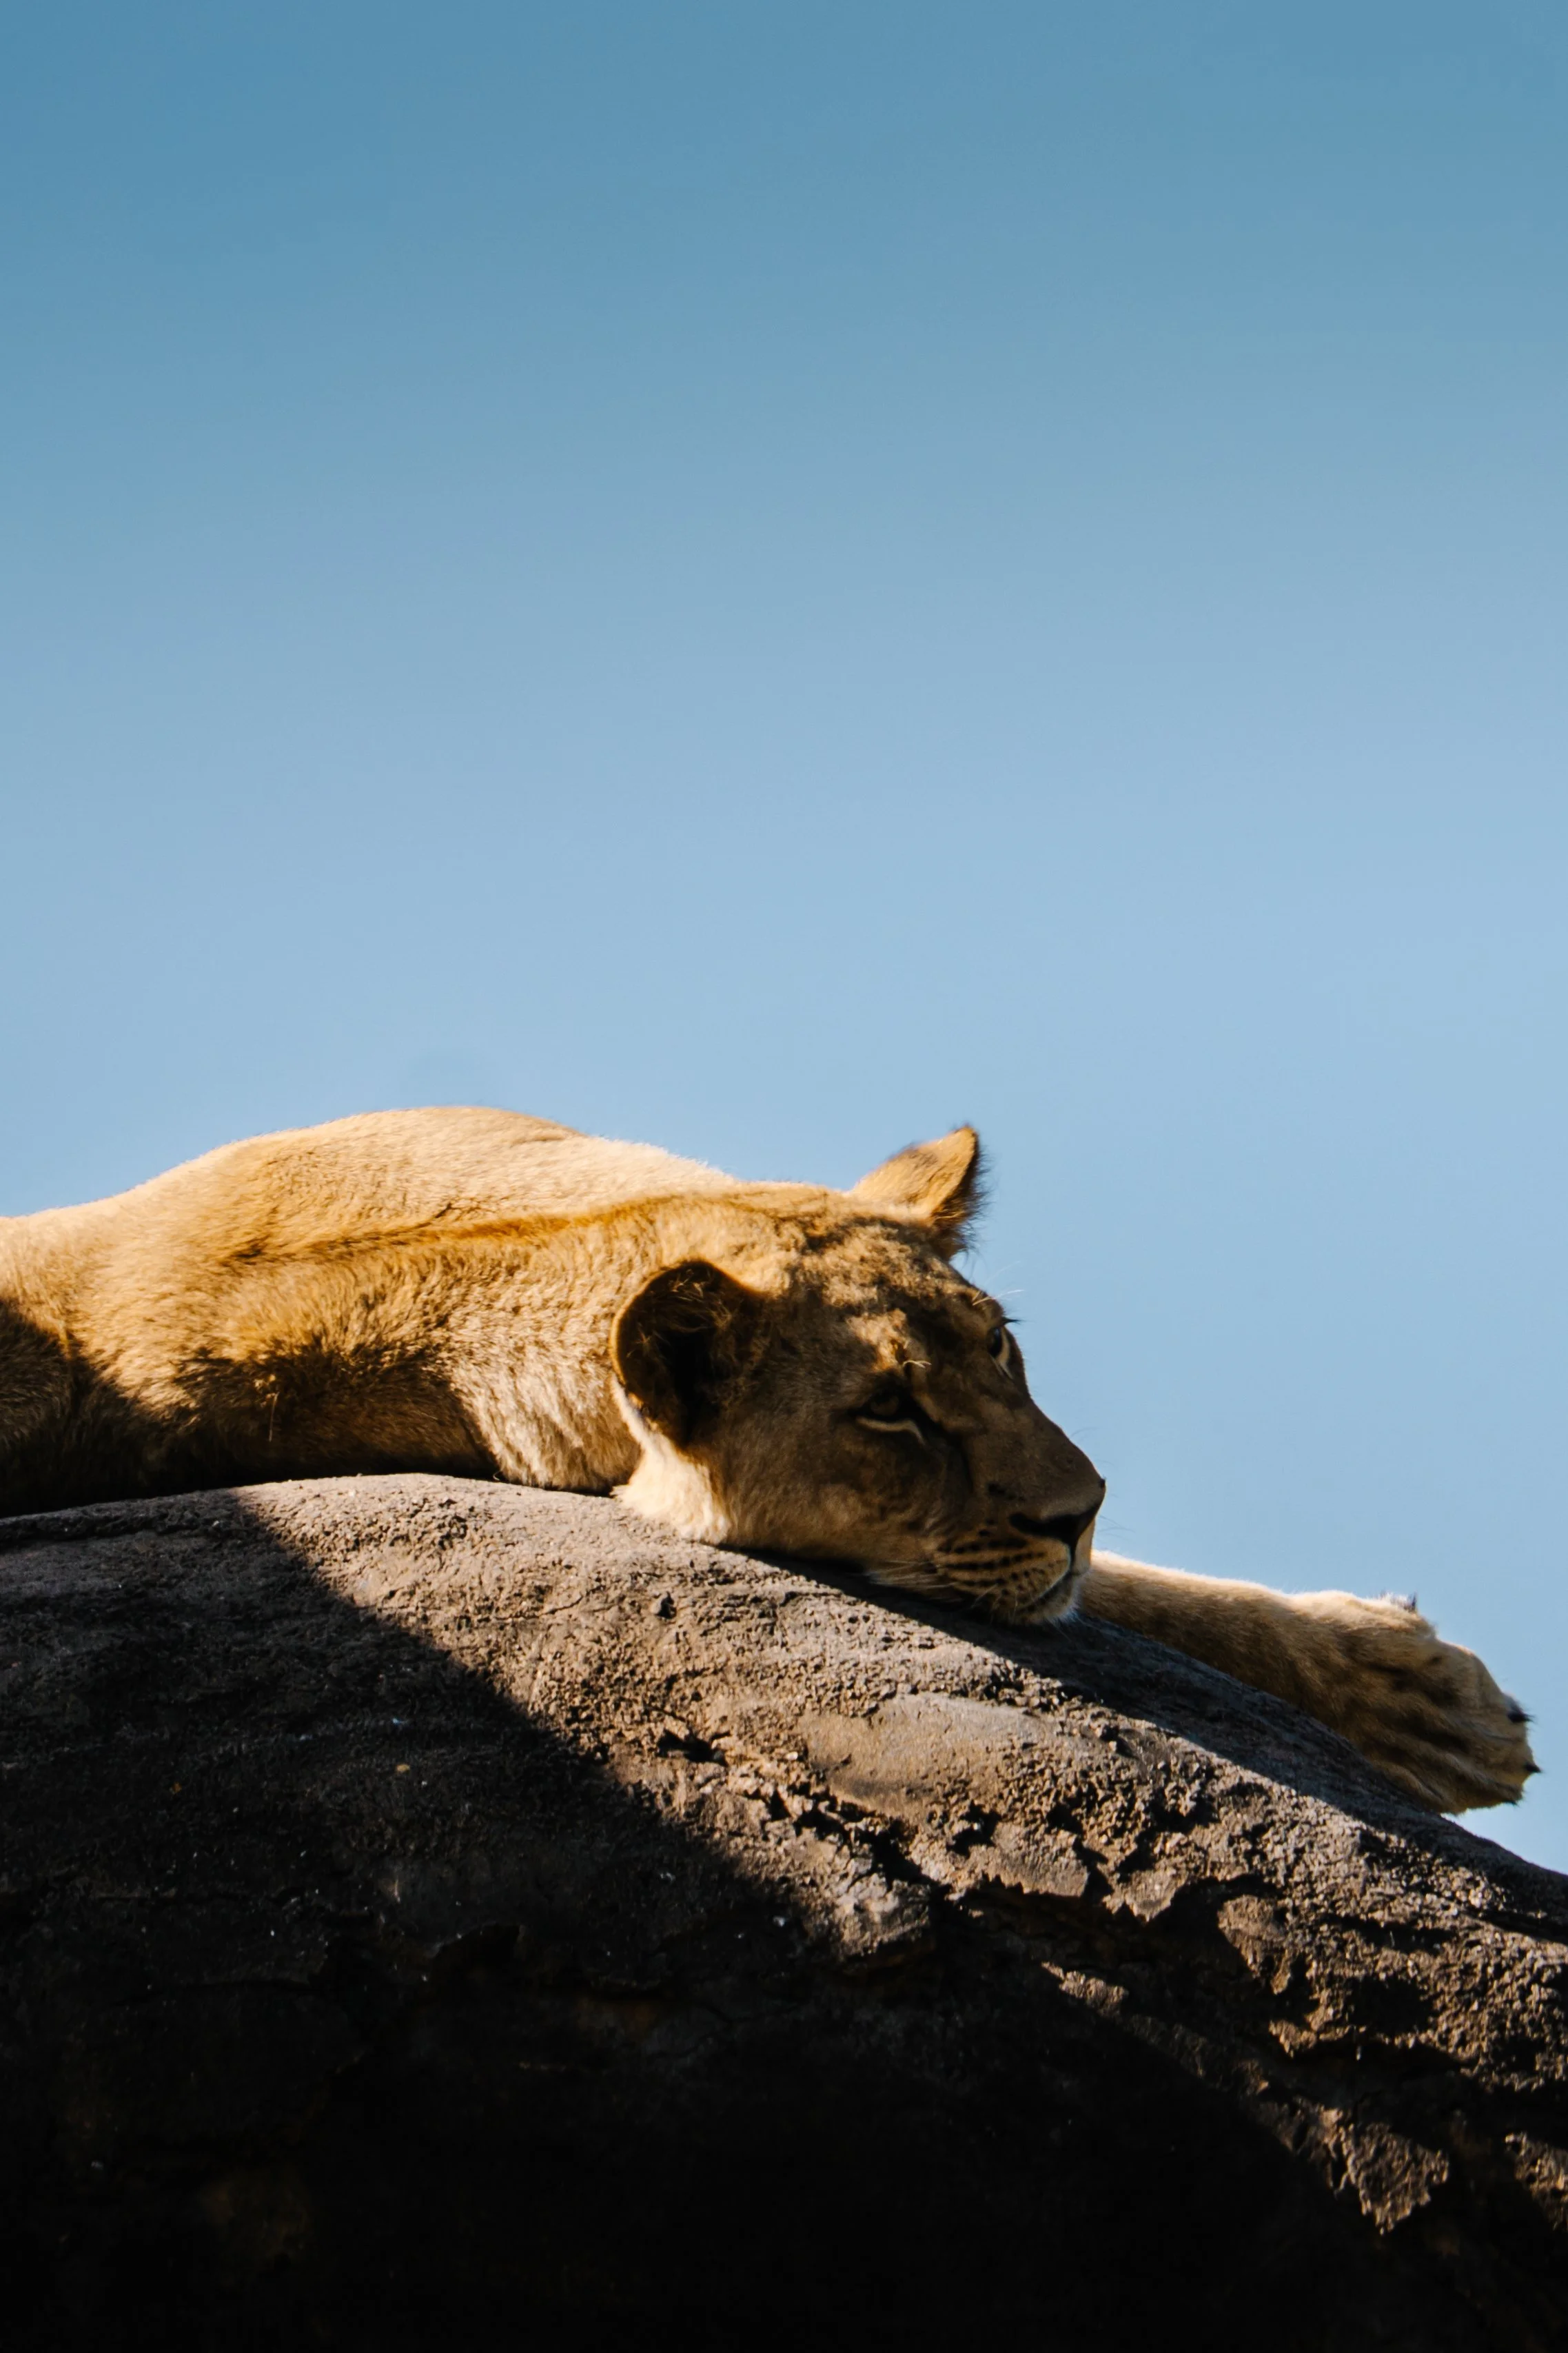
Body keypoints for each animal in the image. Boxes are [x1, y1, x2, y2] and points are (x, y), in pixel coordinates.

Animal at [0, 1107, 1533, 1813]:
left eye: (1003, 1349)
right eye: (892, 1413)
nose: (1080, 1504)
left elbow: (1136, 1588)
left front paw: (1425, 1699)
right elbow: (1106, 1592)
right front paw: (1434, 1710)